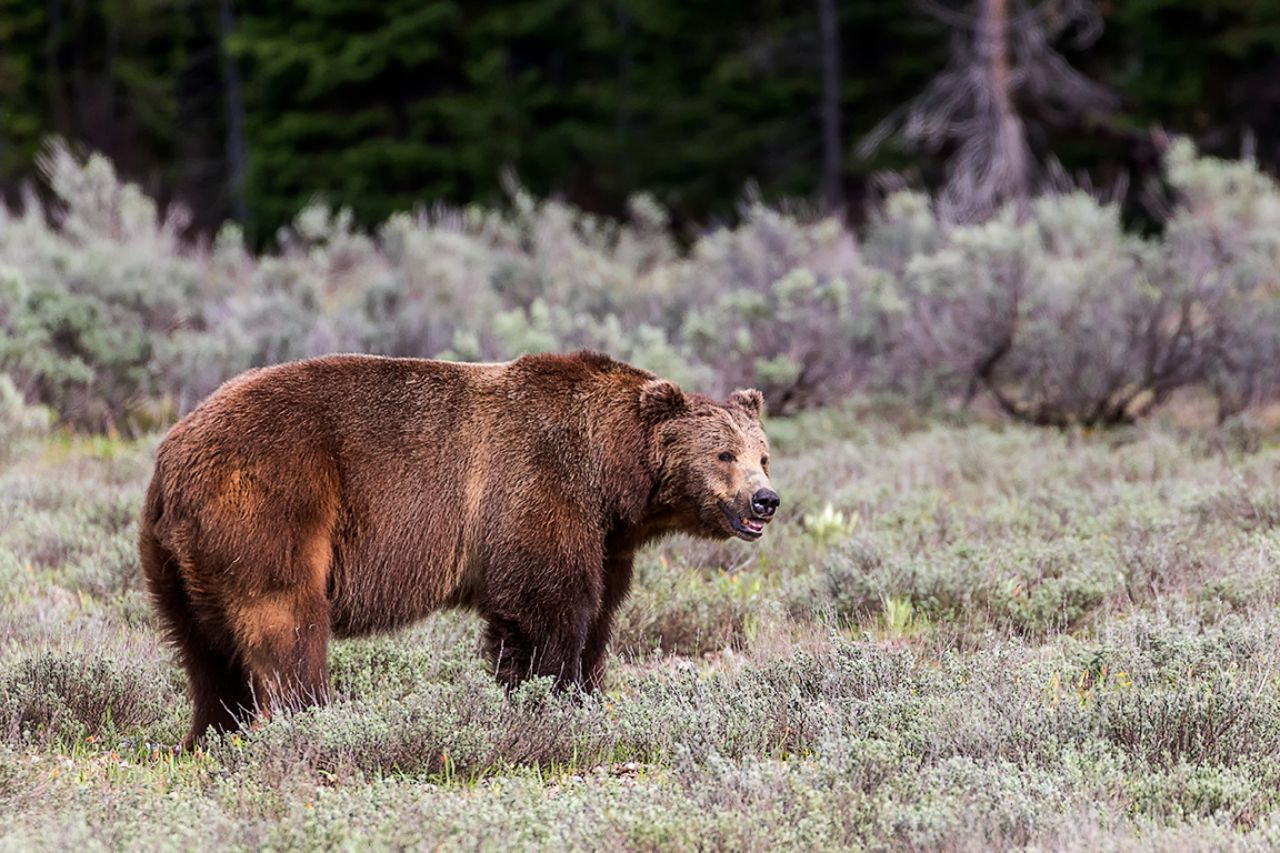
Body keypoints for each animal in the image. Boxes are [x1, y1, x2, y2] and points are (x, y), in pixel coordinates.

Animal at [139, 350, 779, 748]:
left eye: (763, 455)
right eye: (724, 454)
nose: (764, 500)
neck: (610, 479)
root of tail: (171, 456)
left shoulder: (607, 540)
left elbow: (597, 614)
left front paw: (588, 693)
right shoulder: (537, 490)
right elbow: (545, 611)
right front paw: (549, 701)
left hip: (174, 561)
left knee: (205, 652)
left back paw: (211, 736)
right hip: (272, 505)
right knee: (285, 622)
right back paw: (307, 721)